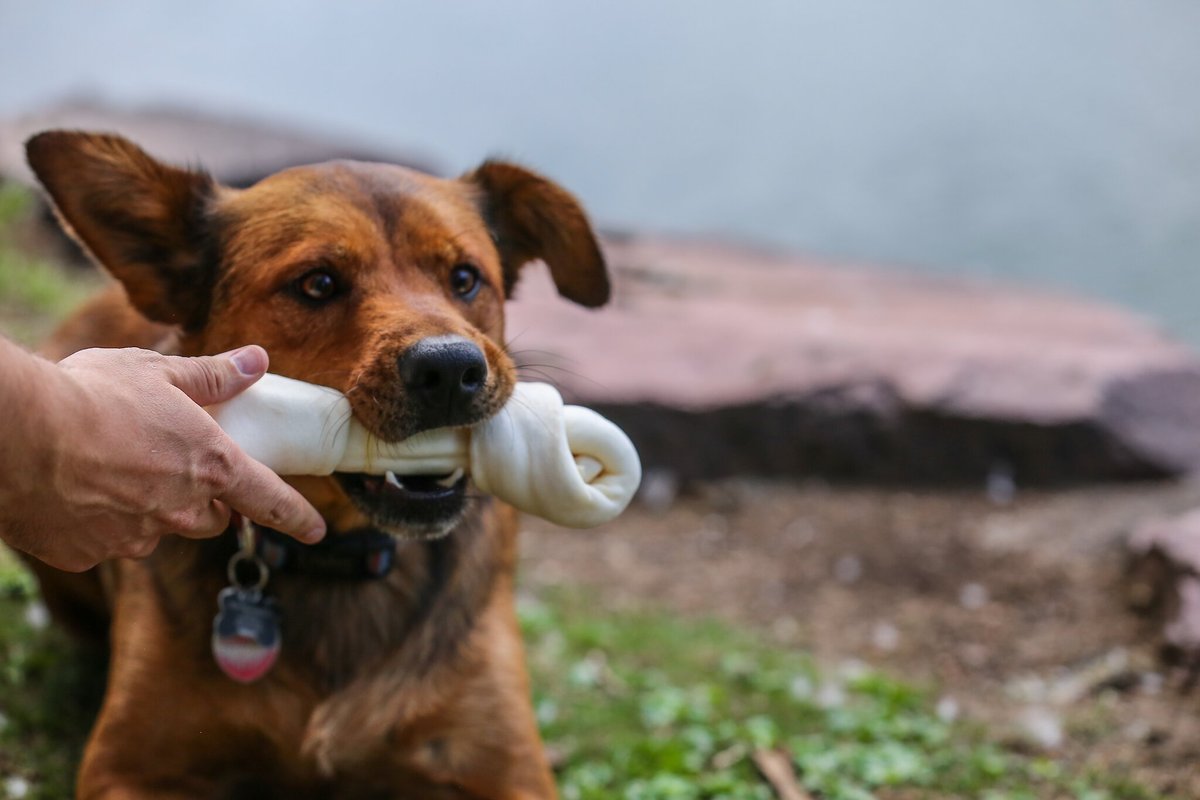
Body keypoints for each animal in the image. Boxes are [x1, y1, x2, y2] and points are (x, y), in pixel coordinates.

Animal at [22, 128, 609, 796]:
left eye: (465, 278)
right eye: (319, 284)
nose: (452, 369)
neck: (340, 563)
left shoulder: (510, 769)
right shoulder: (129, 767)